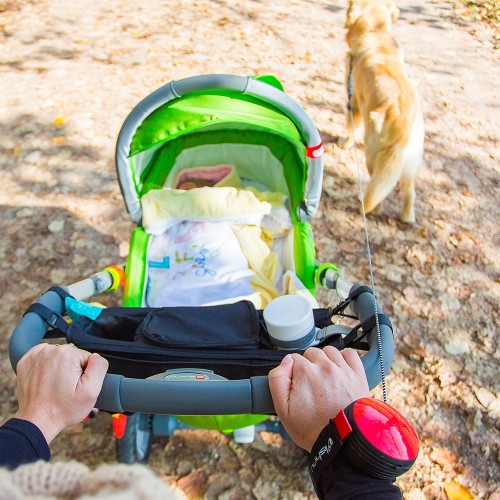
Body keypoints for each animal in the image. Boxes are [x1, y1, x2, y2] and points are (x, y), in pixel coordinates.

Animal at [346, 0, 424, 223]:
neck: (376, 32)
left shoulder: (353, 100)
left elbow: (351, 127)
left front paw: (345, 143)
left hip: (374, 153)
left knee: (376, 188)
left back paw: (371, 208)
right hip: (408, 164)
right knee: (409, 192)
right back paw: (407, 217)